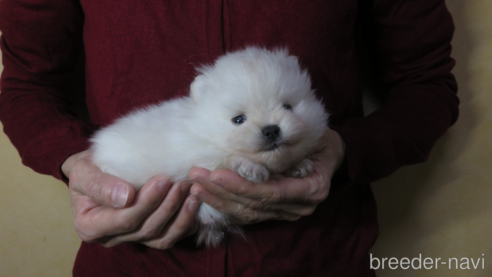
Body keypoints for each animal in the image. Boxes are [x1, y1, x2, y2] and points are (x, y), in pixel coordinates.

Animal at [91, 46, 330, 245]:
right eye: (238, 120)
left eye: (287, 107)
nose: (271, 130)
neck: (205, 128)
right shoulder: (198, 156)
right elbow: (227, 158)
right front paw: (251, 168)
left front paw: (300, 165)